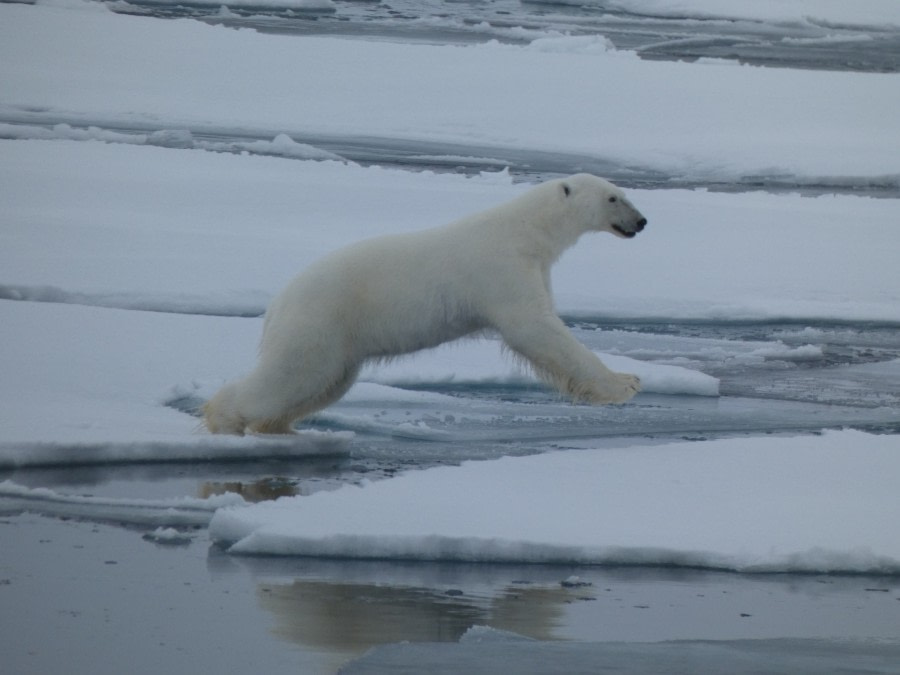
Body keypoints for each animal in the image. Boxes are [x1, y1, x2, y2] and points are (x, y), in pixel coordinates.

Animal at [204, 174, 648, 436]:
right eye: (614, 198)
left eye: (625, 195)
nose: (642, 222)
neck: (528, 231)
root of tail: (278, 302)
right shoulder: (502, 269)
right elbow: (535, 328)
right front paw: (625, 383)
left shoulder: (533, 266)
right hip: (321, 320)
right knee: (290, 374)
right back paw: (223, 417)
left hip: (340, 341)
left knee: (322, 383)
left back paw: (279, 427)